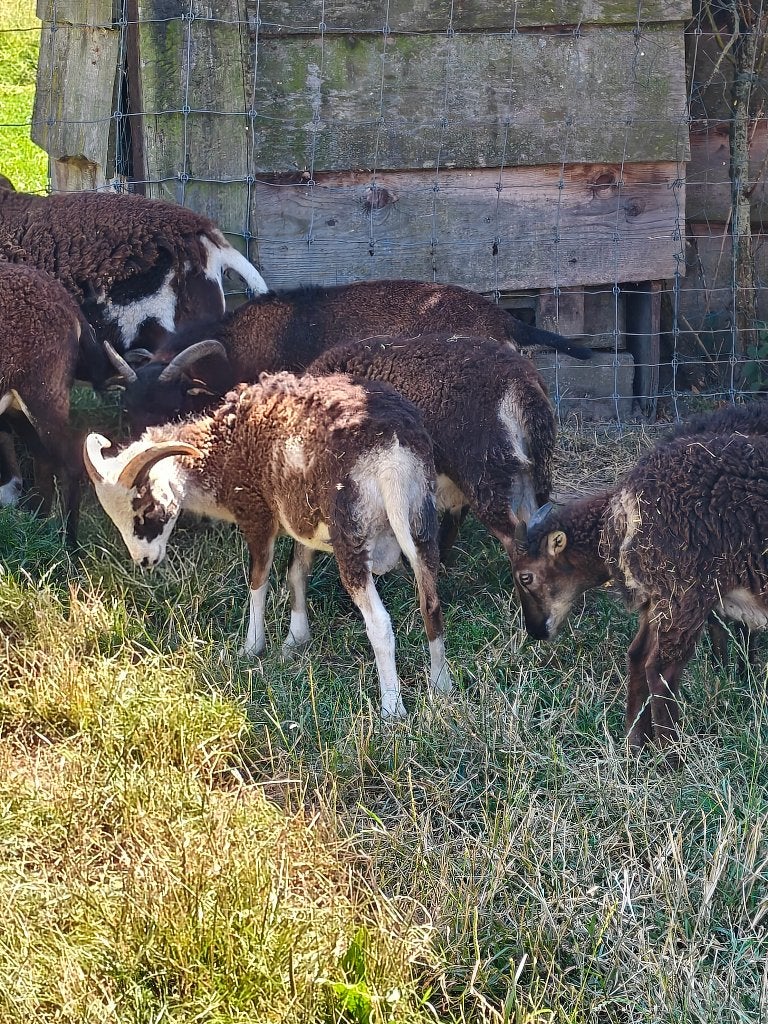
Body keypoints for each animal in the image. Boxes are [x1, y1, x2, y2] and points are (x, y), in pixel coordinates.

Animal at [0, 263, 112, 545]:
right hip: (19, 402)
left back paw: (69, 544)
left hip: (44, 392)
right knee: (44, 455)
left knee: (70, 459)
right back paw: (36, 522)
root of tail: (66, 301)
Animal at [83, 372, 455, 718]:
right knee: (431, 603)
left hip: (352, 534)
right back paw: (441, 686)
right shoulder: (305, 521)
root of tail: (392, 454)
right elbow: (296, 574)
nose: (144, 561)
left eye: (146, 508)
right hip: (420, 520)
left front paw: (251, 648)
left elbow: (258, 582)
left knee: (379, 621)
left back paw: (392, 710)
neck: (221, 447)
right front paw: (295, 639)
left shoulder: (257, 514)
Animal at [512, 411, 768, 755]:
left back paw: (636, 744)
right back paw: (669, 755)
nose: (535, 631)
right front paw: (736, 678)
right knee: (659, 669)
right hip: (682, 594)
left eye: (526, 577)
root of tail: (626, 505)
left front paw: (737, 677)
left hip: (666, 595)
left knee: (639, 658)